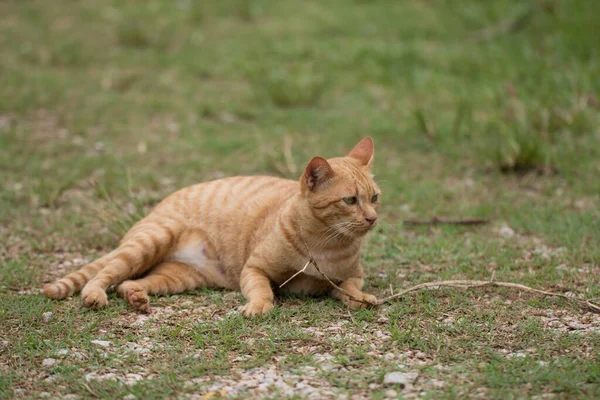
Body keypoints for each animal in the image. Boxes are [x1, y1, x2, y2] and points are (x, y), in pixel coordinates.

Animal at [43, 137, 380, 316]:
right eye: (350, 200)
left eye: (374, 198)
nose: (372, 218)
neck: (324, 243)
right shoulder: (253, 269)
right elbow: (262, 291)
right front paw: (259, 306)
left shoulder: (349, 277)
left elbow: (350, 289)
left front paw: (362, 299)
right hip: (150, 241)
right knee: (103, 274)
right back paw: (95, 295)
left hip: (178, 277)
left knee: (128, 282)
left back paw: (136, 297)